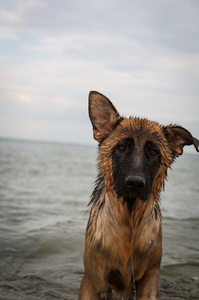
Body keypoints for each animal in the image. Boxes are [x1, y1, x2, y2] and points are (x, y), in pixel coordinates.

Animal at [78, 91, 199, 300]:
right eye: (121, 148)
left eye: (153, 152)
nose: (134, 183)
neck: (130, 218)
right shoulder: (92, 279)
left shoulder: (150, 275)